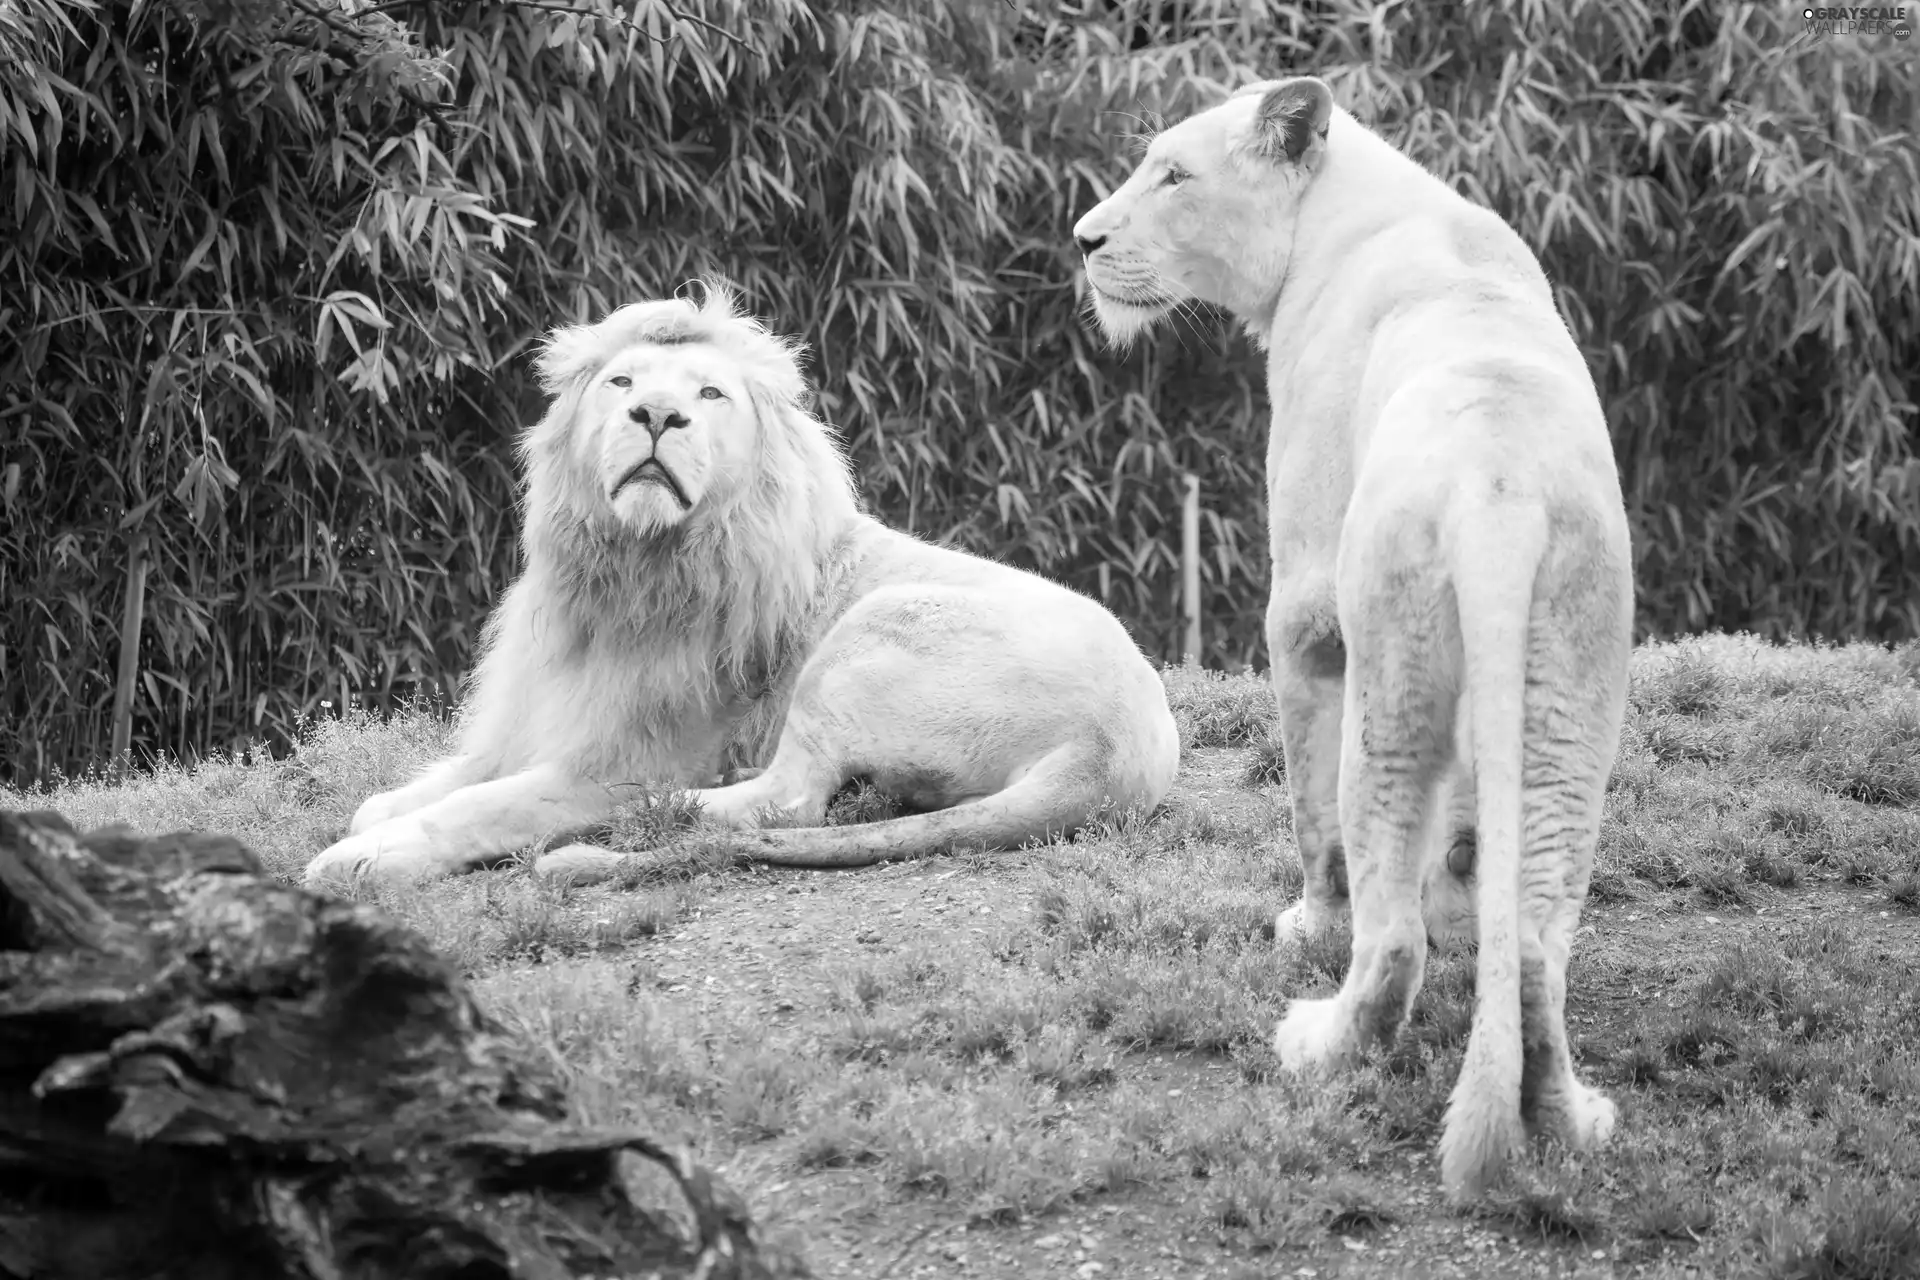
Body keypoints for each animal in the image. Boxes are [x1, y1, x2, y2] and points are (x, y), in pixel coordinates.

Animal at [305, 285, 1175, 890]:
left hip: (872, 628)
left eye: (709, 394)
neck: (627, 568)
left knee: (778, 802)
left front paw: (363, 858)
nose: (657, 414)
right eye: (621, 382)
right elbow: (428, 785)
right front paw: (378, 817)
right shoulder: (530, 722)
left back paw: (649, 815)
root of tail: (1108, 754)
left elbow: (477, 805)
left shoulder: (614, 756)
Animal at [1075, 80, 1628, 1205]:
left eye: (1174, 174)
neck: (1345, 210)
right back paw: (1570, 1119)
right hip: (1570, 698)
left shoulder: (1304, 600)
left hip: (1393, 664)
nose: (1084, 239)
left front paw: (1309, 923)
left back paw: (1320, 1041)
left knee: (1390, 933)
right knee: (1536, 948)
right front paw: (1461, 873)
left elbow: (1307, 806)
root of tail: (1498, 484)